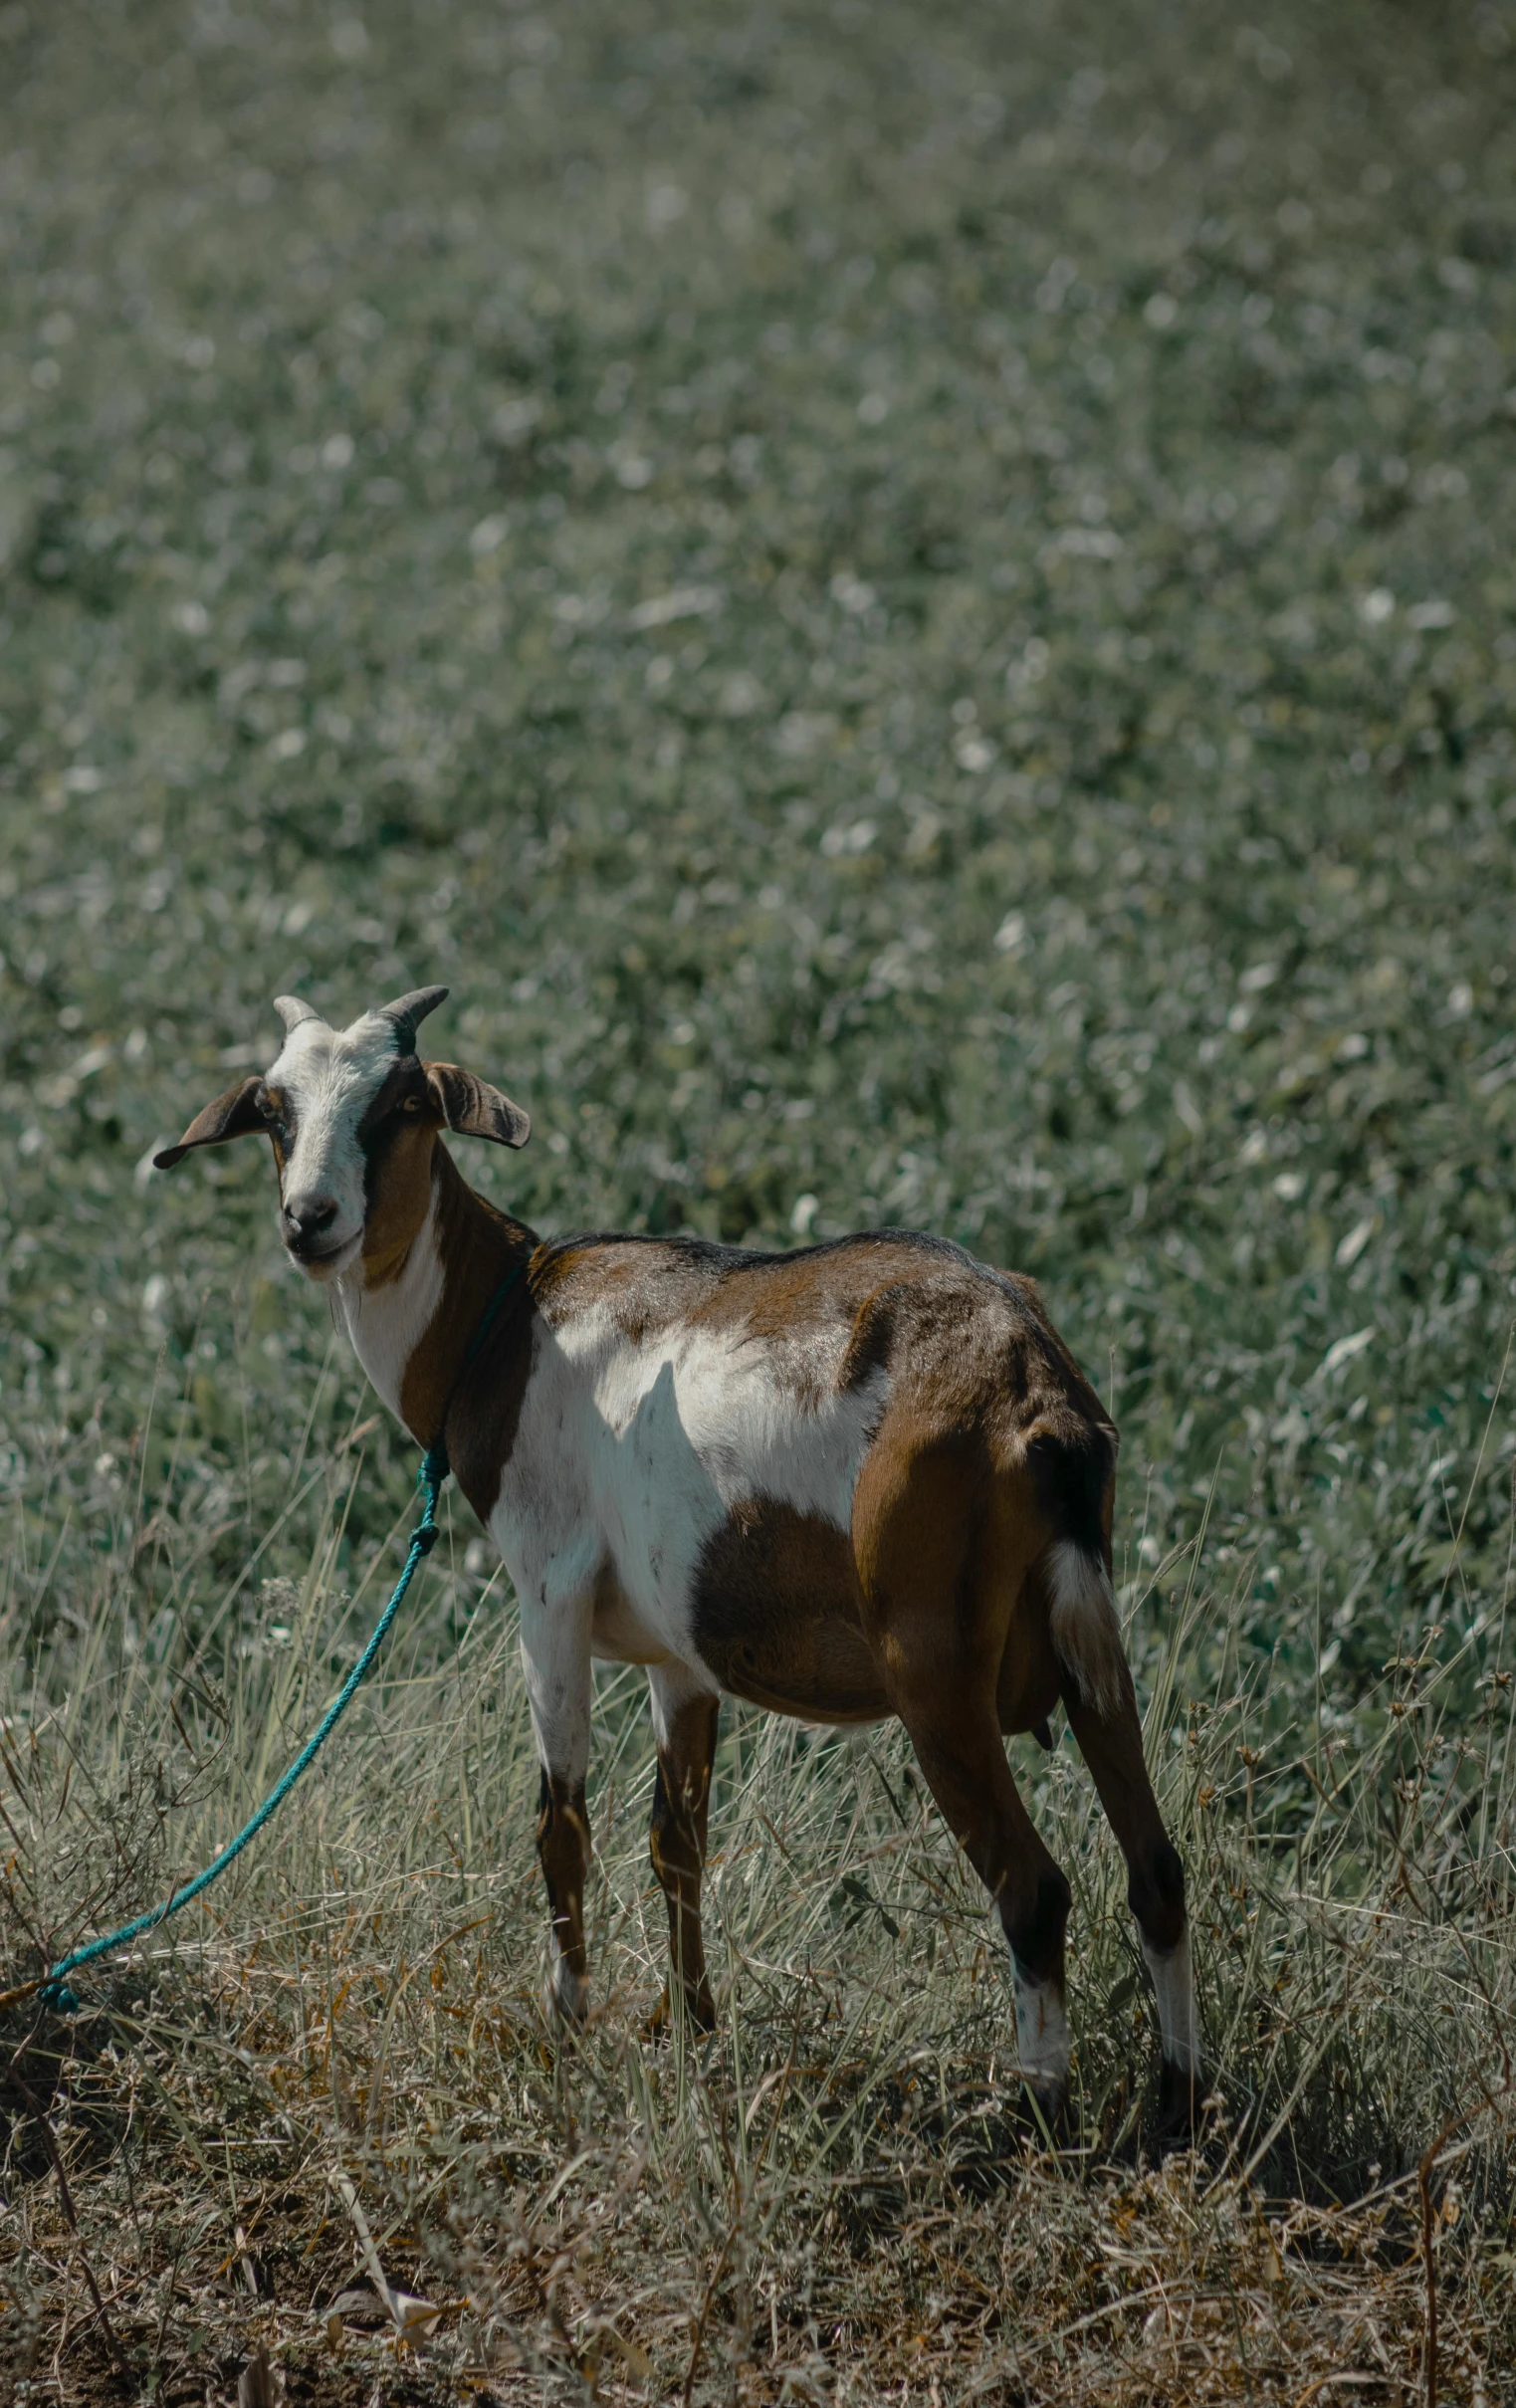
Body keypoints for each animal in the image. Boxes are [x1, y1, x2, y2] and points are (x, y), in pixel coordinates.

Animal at [153, 982, 1197, 2128]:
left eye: (401, 1105)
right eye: (275, 1110)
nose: (311, 1220)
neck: (506, 1321)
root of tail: (1031, 1392)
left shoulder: (548, 1591)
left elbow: (561, 1825)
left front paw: (566, 2030)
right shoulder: (677, 1654)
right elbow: (676, 1842)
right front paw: (691, 2030)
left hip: (935, 1671)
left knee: (1031, 1886)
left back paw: (1037, 2113)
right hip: (1089, 1632)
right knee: (1156, 1868)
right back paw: (1178, 2102)